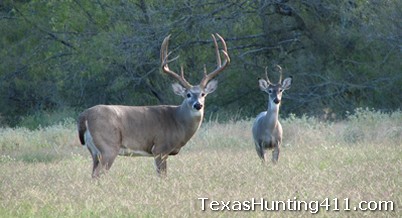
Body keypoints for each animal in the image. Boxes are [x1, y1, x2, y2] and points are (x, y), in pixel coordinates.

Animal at [78, 33, 229, 177]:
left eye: (203, 94)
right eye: (188, 94)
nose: (198, 105)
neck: (177, 121)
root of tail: (85, 115)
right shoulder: (160, 148)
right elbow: (163, 176)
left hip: (94, 151)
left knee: (93, 174)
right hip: (108, 146)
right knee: (99, 174)